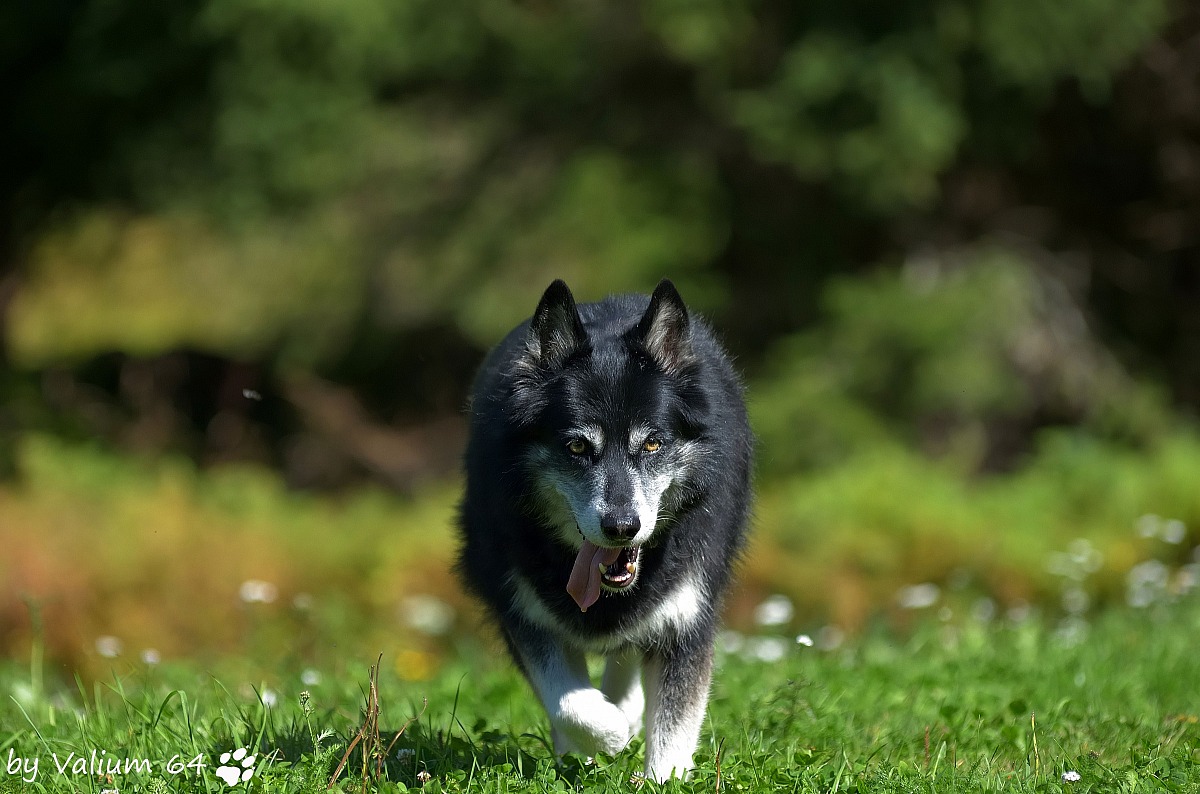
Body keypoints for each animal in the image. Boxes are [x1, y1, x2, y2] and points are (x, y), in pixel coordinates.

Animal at [456, 278, 752, 782]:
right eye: (577, 446)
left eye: (652, 443)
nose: (622, 527)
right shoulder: (523, 611)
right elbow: (568, 702)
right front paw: (606, 735)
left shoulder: (685, 617)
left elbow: (674, 726)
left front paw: (659, 777)